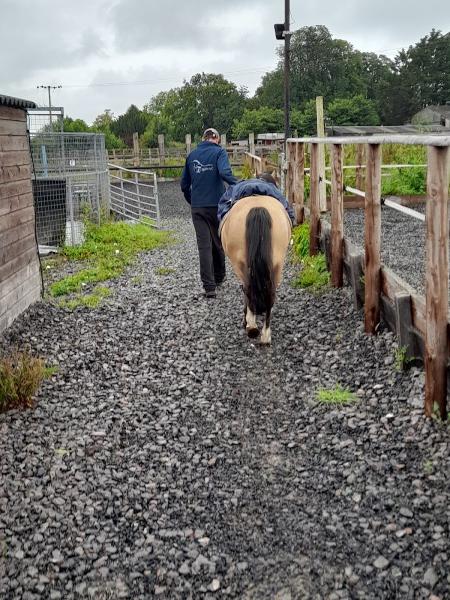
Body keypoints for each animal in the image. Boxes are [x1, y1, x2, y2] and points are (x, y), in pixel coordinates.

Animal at [221, 196, 292, 344]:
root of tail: (258, 207)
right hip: (277, 264)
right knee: (270, 293)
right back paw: (265, 335)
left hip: (240, 265)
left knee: (248, 289)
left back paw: (252, 326)